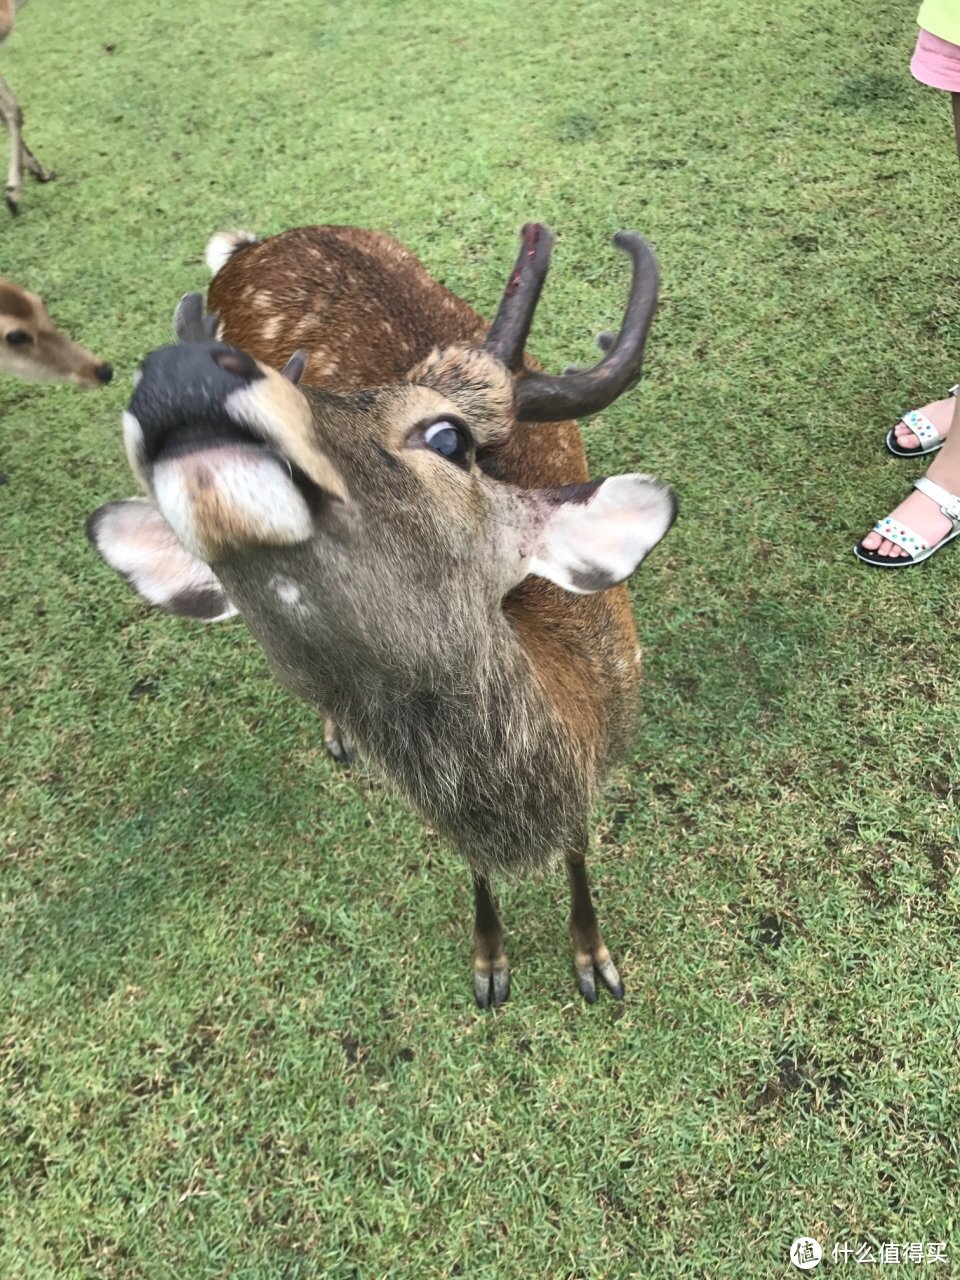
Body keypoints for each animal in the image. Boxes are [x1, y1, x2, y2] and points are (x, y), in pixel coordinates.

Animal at [88, 222, 675, 1008]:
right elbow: (471, 867)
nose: (176, 370)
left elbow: (581, 849)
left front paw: (594, 960)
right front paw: (490, 963)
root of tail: (252, 244)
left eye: (448, 437)